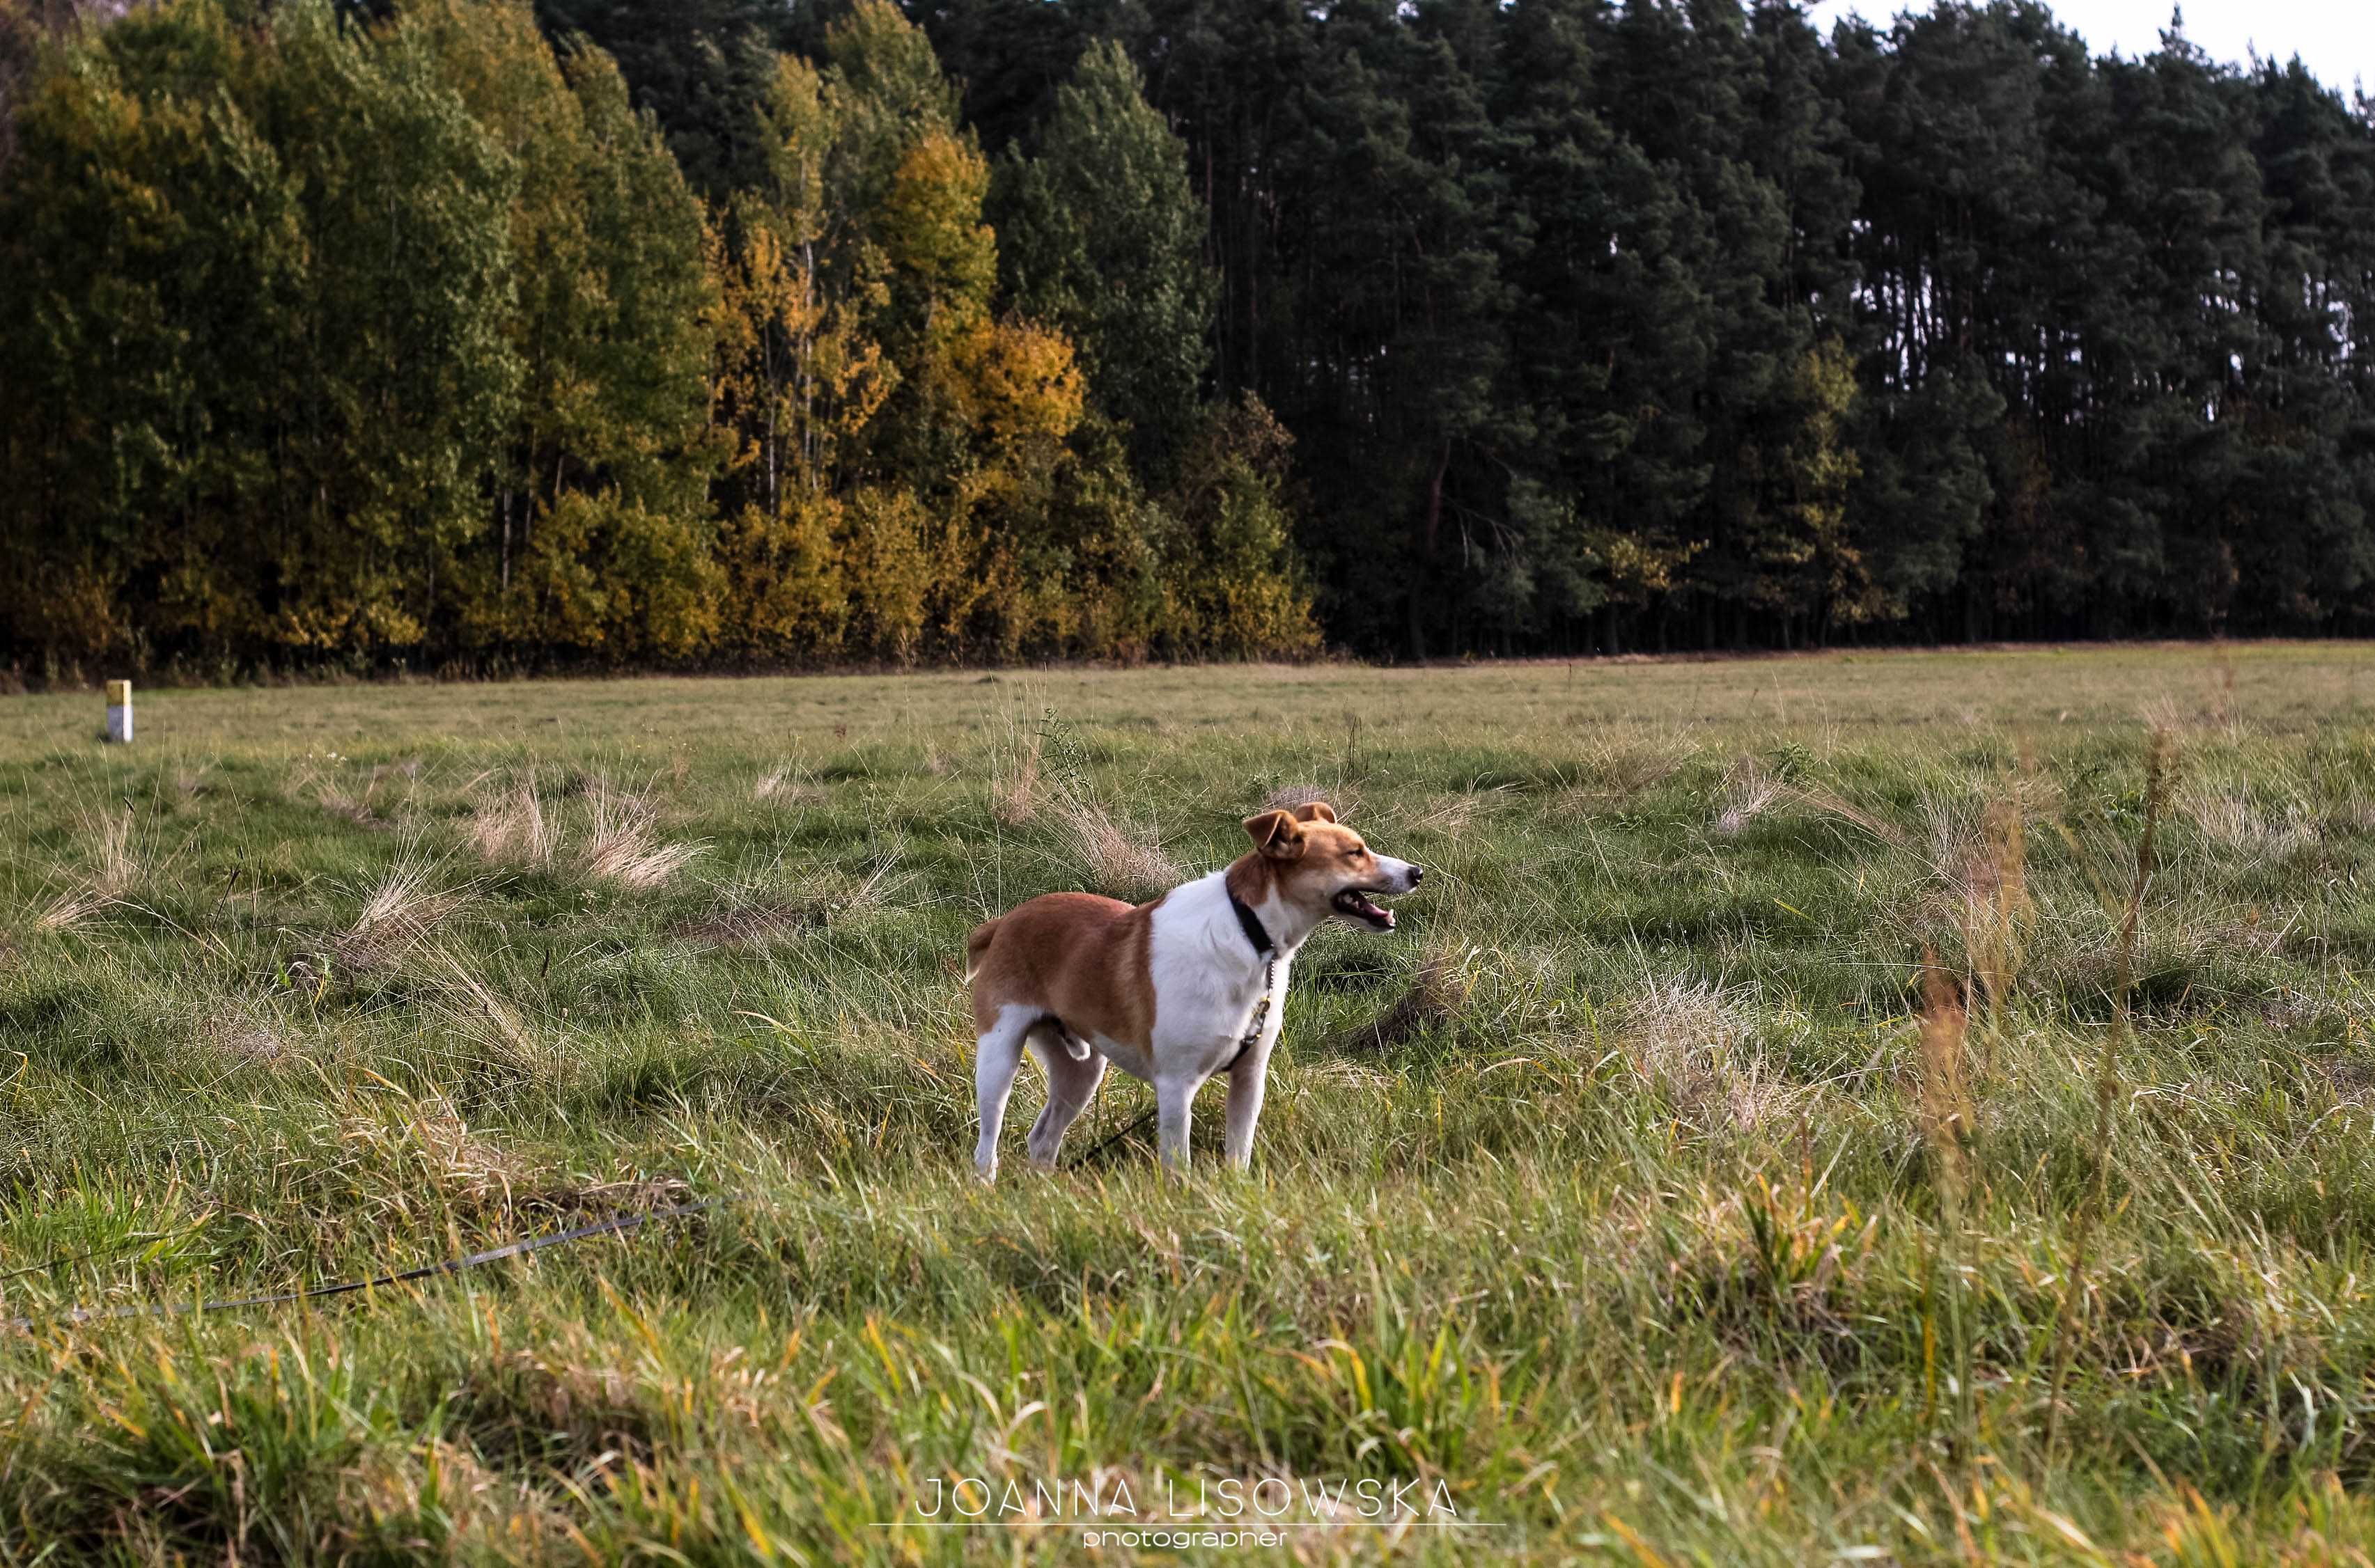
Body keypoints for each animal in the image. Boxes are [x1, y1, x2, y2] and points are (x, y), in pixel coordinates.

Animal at [964, 808, 1425, 1178]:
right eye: (1355, 853)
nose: (1417, 873)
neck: (1249, 932)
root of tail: (1006, 922)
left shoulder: (1249, 1078)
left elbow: (1239, 1155)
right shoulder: (1175, 1086)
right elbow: (1178, 1166)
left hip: (1082, 1073)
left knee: (1043, 1140)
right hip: (998, 1061)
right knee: (987, 1147)